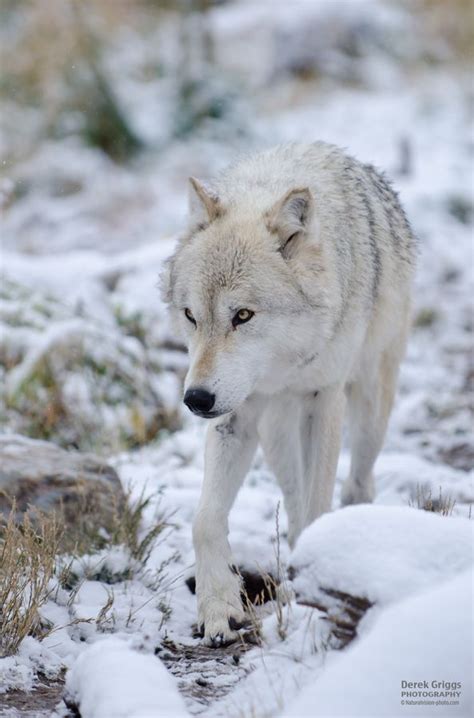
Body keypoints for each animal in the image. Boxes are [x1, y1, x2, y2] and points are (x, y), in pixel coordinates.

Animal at [162, 141, 414, 648]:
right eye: (191, 315)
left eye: (242, 315)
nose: (195, 399)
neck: (280, 368)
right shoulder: (235, 412)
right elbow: (205, 520)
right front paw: (218, 609)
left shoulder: (324, 400)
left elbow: (320, 508)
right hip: (276, 437)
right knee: (294, 504)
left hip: (369, 408)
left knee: (357, 483)